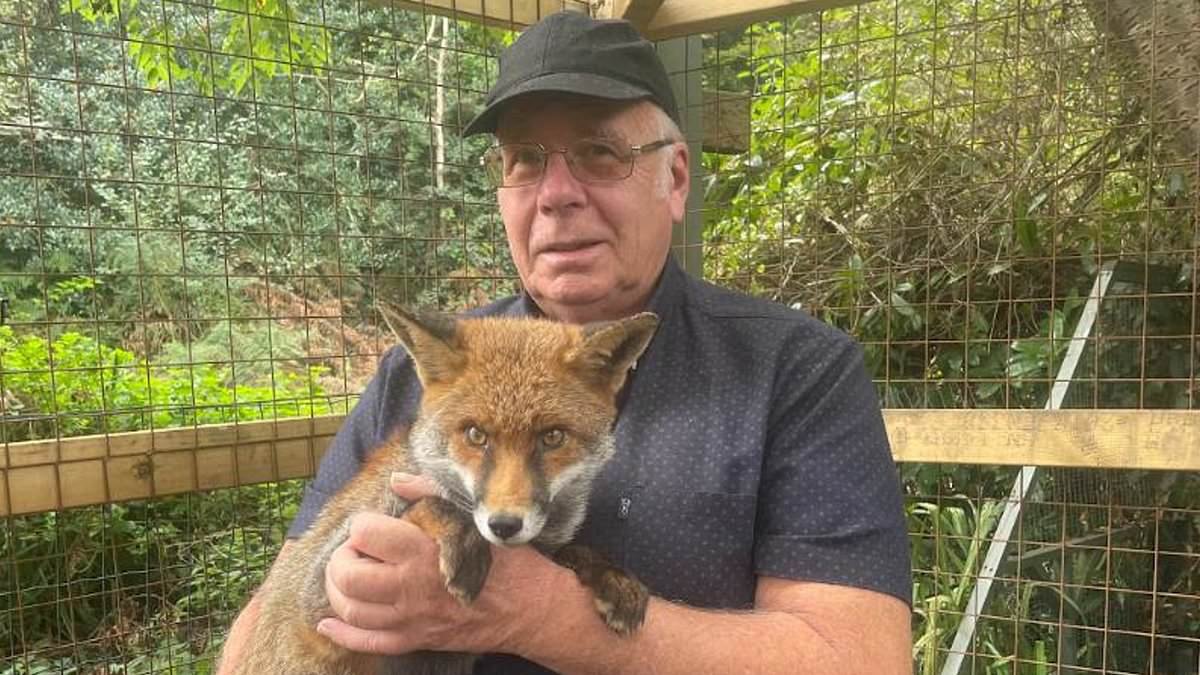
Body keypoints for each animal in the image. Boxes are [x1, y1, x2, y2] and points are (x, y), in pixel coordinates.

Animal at [229, 308, 658, 675]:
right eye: (475, 434)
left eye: (552, 437)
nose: (504, 525)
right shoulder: (325, 598)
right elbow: (430, 504)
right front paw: (465, 537)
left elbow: (578, 551)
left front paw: (613, 577)